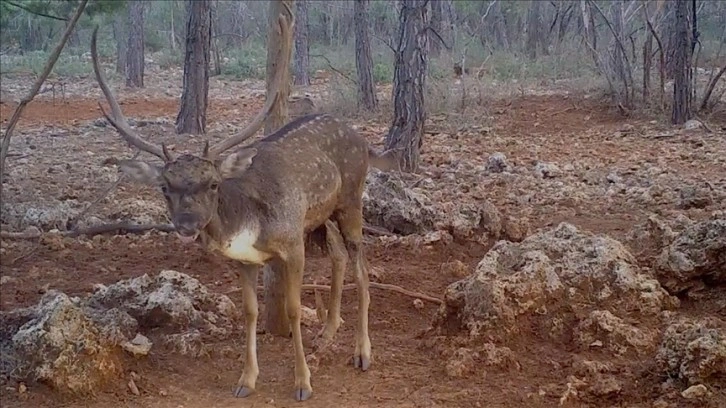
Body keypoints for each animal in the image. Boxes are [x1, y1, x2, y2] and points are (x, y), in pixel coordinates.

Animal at [91, 19, 398, 402]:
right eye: (164, 187)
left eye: (212, 184)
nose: (187, 223)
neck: (248, 223)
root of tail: (364, 141)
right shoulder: (244, 259)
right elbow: (250, 312)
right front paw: (246, 379)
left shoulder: (292, 243)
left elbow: (293, 310)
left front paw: (303, 383)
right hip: (320, 216)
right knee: (339, 257)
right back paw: (327, 333)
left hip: (352, 200)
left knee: (361, 265)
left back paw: (362, 352)